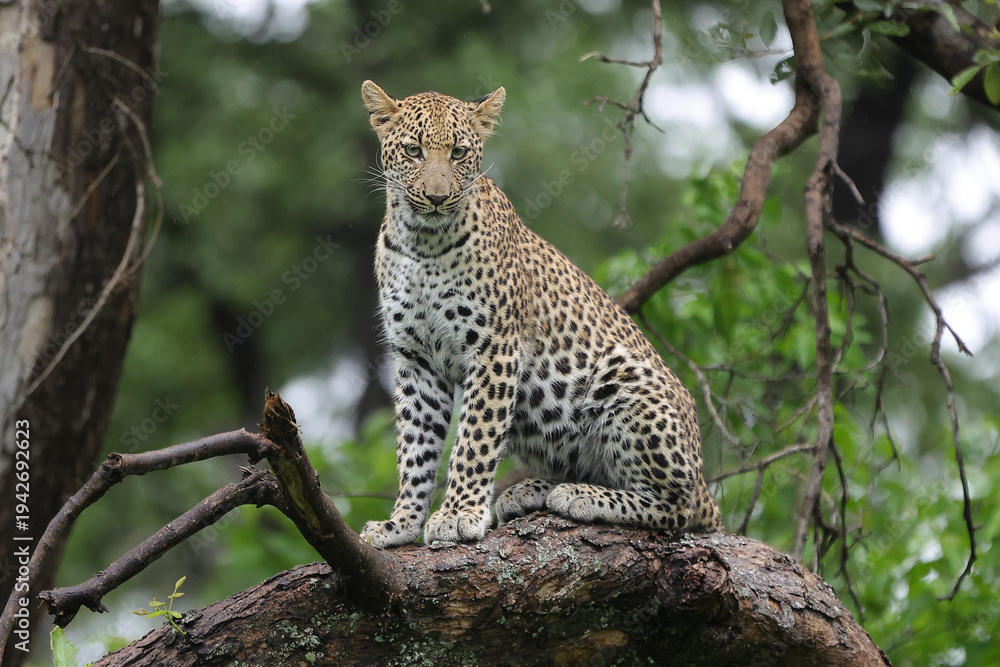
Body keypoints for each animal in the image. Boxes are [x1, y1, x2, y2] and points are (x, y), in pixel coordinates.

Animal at [359, 80, 723, 548]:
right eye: (413, 151)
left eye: (458, 153)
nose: (438, 198)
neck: (422, 242)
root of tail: (703, 479)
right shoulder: (416, 359)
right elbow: (415, 448)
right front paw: (401, 524)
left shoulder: (494, 347)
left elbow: (475, 437)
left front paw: (458, 513)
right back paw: (533, 491)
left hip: (621, 379)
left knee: (678, 507)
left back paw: (579, 496)